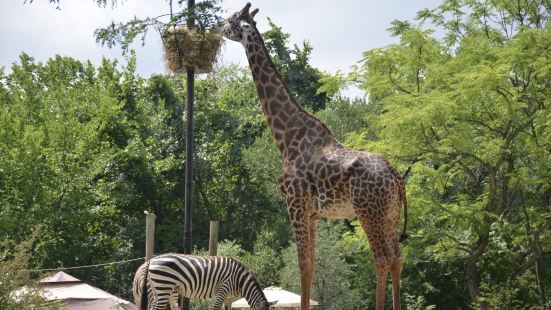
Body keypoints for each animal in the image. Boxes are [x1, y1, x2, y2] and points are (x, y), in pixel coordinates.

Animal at [134, 254, 276, 310]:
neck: (239, 281)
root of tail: (151, 260)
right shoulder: (222, 290)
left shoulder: (229, 298)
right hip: (163, 286)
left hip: (158, 289)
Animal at [220, 3, 410, 310]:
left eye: (230, 19)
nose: (217, 27)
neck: (286, 138)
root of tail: (395, 175)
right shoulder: (313, 214)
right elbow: (311, 264)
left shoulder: (295, 203)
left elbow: (303, 265)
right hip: (390, 215)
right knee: (397, 257)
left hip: (370, 212)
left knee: (382, 258)